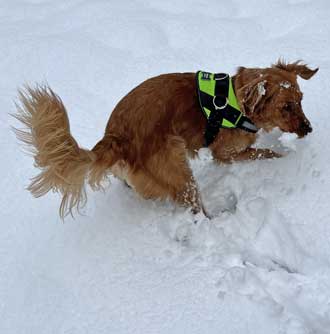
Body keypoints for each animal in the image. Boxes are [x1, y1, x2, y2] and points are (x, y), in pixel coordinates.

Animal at [14, 60, 318, 218]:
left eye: (301, 100)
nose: (309, 129)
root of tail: (116, 137)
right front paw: (287, 159)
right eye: (286, 107)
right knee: (197, 210)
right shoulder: (225, 153)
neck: (237, 102)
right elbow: (265, 153)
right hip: (178, 171)